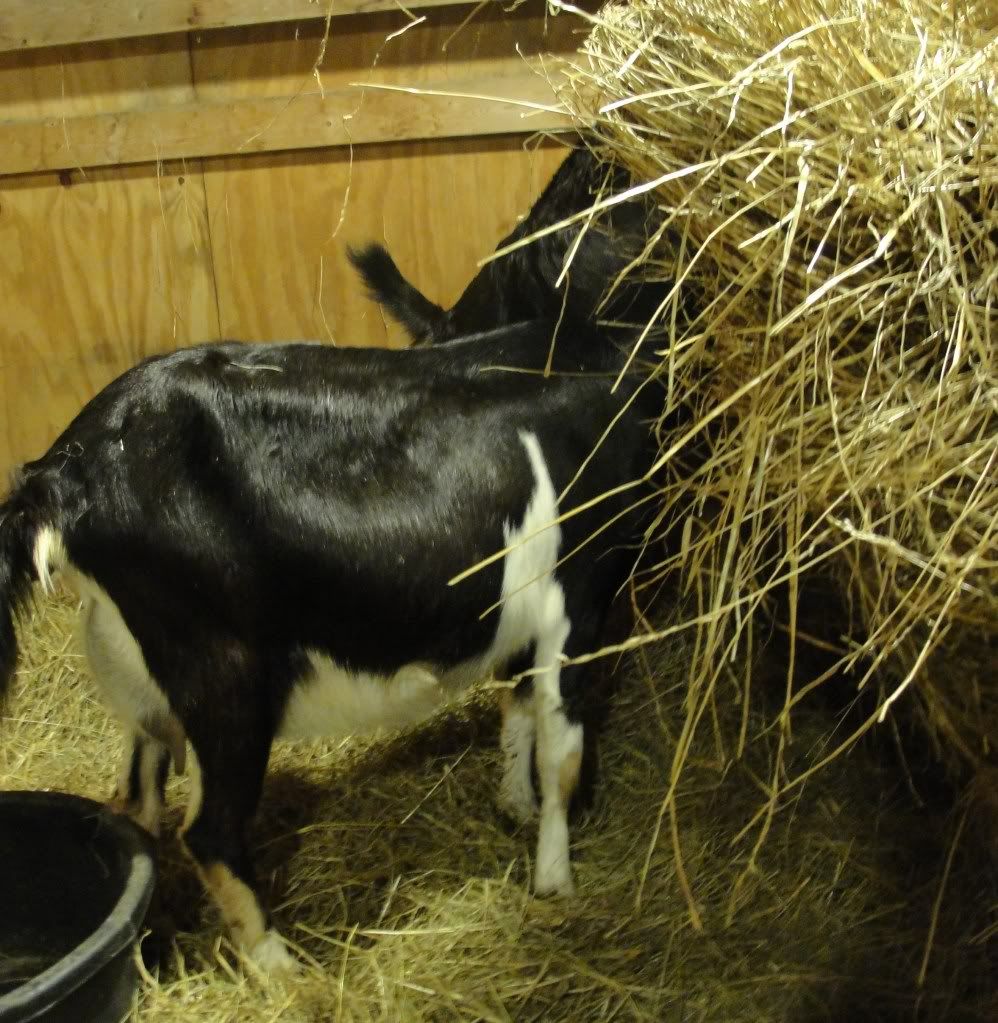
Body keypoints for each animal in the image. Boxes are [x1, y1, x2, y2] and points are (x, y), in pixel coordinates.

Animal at [0, 320, 657, 969]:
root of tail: (63, 471)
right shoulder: (576, 600)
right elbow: (561, 753)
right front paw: (555, 881)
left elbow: (516, 707)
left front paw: (515, 805)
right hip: (222, 674)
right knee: (210, 831)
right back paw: (281, 967)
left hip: (140, 676)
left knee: (134, 805)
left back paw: (151, 949)